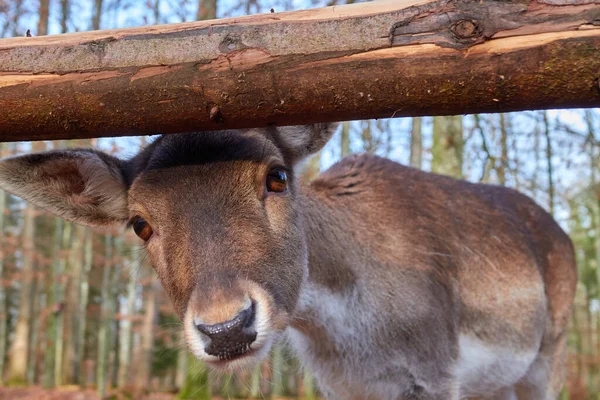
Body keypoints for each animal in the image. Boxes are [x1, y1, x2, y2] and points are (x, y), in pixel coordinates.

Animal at [0, 123, 576, 398]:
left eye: (276, 176)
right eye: (139, 223)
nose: (226, 328)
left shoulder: (436, 368)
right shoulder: (343, 388)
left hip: (548, 353)